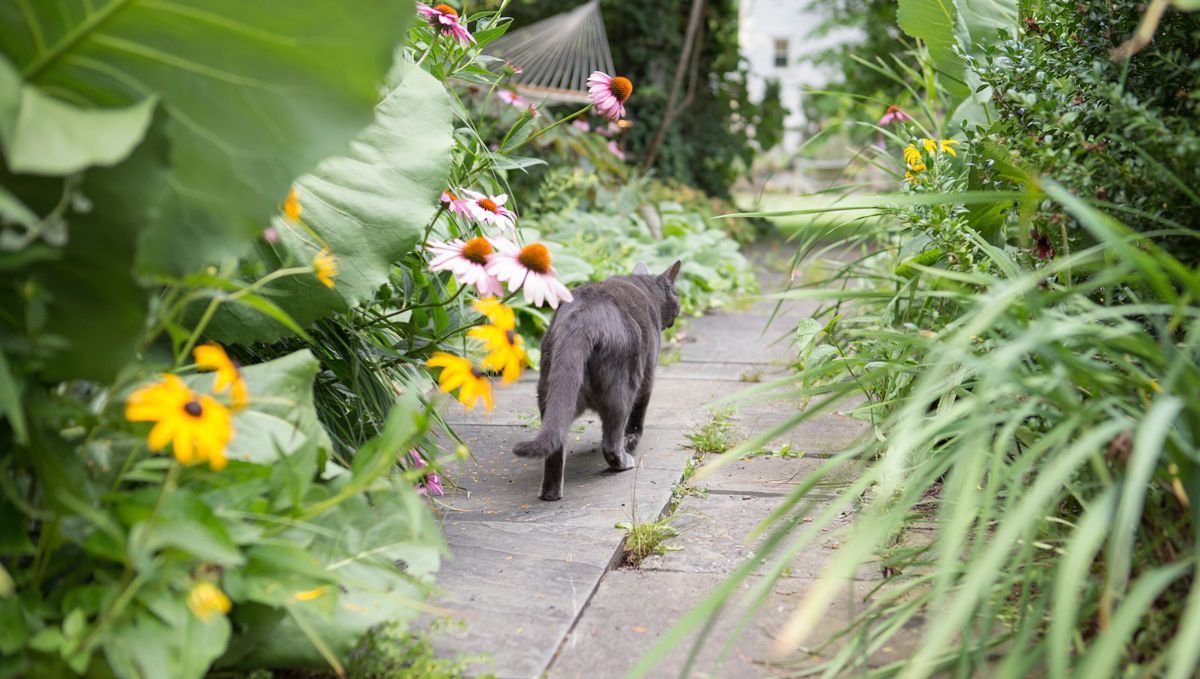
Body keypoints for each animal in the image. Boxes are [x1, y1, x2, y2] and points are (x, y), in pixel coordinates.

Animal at [508, 260, 686, 501]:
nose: (677, 310)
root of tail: (583, 319)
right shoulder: (648, 377)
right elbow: (638, 416)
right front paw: (632, 441)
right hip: (624, 387)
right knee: (611, 440)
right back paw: (624, 462)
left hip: (550, 386)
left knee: (556, 441)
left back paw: (550, 494)